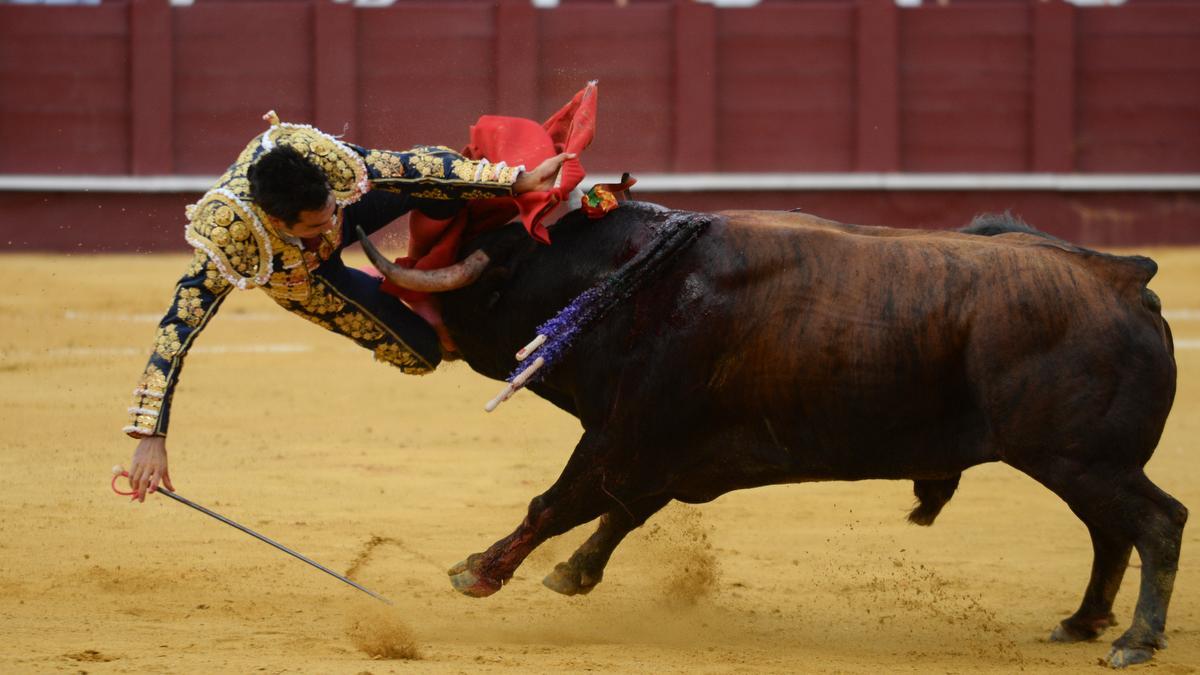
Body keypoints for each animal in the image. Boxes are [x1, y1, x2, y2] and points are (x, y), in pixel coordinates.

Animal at [355, 201, 1180, 662]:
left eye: (492, 282)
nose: (405, 327)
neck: (634, 283)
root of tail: (1126, 277)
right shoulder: (668, 451)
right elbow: (618, 510)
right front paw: (572, 573)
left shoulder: (630, 431)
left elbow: (559, 499)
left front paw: (479, 570)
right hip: (1083, 462)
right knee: (1111, 532)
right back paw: (1081, 622)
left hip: (1078, 458)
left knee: (1158, 522)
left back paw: (1133, 640)